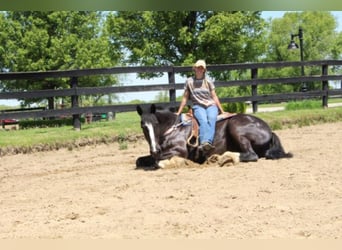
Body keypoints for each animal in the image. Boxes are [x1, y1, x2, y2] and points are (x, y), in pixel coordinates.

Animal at [135, 104, 292, 169]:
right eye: (143, 126)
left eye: (155, 124)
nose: (154, 149)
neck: (174, 128)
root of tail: (269, 130)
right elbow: (140, 160)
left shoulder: (180, 151)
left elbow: (158, 162)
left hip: (235, 127)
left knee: (251, 155)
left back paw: (223, 158)